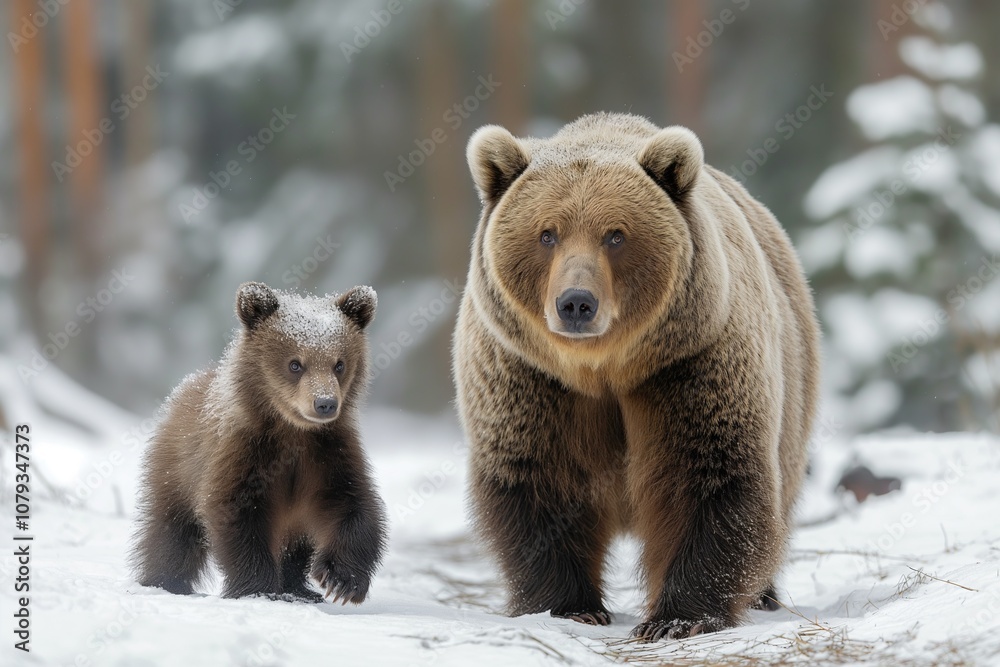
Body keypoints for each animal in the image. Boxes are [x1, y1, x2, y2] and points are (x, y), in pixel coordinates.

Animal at [132, 282, 387, 604]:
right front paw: (258, 588)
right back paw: (165, 581)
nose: (325, 403)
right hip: (176, 472)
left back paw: (299, 589)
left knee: (296, 543)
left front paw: (341, 580)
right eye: (295, 364)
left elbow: (354, 505)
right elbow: (237, 514)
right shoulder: (244, 452)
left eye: (339, 364)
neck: (293, 431)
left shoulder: (328, 452)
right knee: (173, 532)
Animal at [453, 113, 820, 641]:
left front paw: (675, 618)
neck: (603, 368)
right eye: (547, 233)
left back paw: (764, 595)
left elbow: (707, 475)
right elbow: (537, 481)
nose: (576, 303)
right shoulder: (529, 377)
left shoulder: (689, 365)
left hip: (794, 385)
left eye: (615, 234)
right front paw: (570, 606)